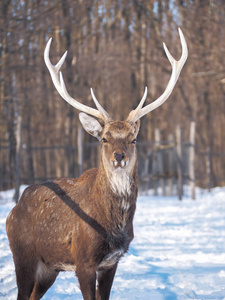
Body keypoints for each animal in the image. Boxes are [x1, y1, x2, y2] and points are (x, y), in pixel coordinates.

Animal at [6, 28, 187, 300]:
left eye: (133, 139)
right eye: (104, 138)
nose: (119, 156)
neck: (113, 226)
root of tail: (12, 211)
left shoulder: (112, 262)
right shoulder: (84, 261)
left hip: (49, 268)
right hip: (23, 255)